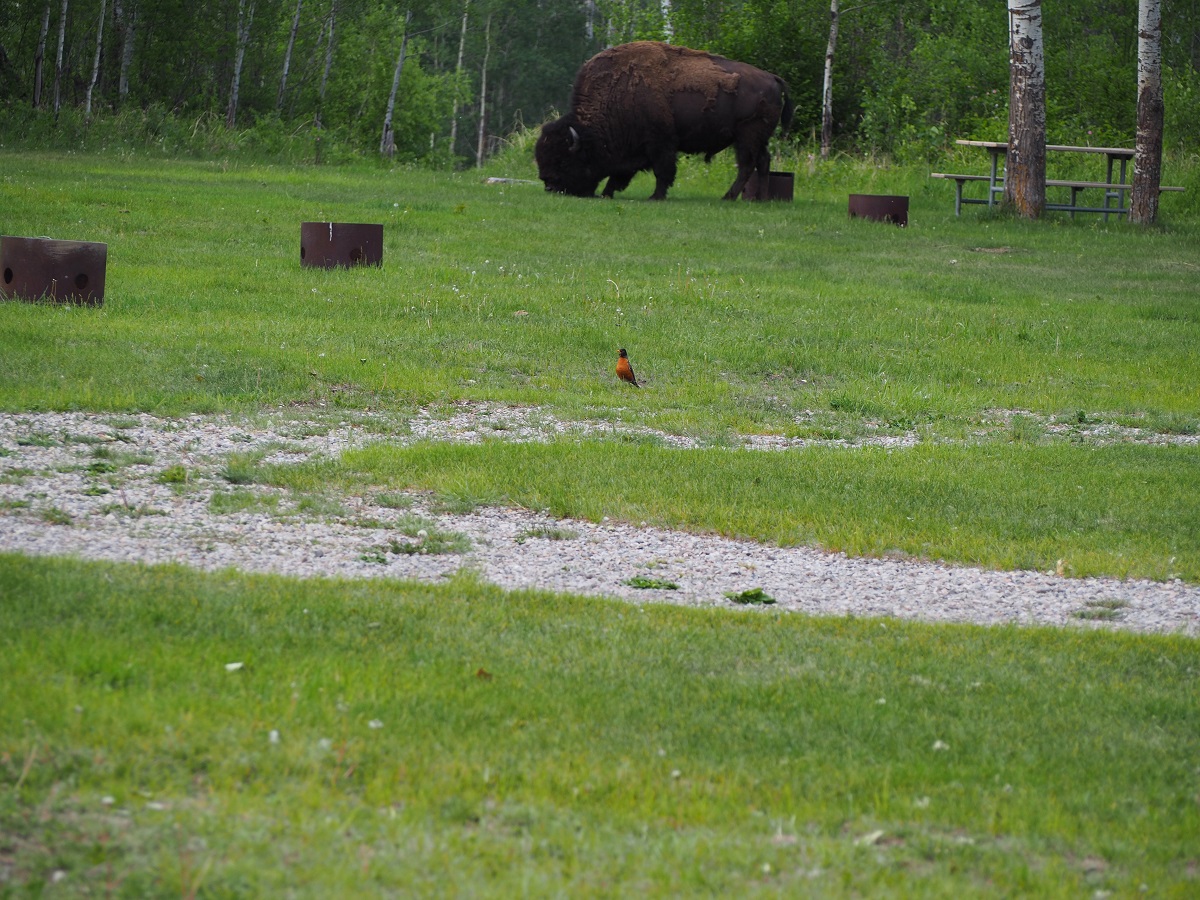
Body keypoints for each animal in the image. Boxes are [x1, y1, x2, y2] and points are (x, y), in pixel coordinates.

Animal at [536, 41, 793, 201]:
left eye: (563, 161)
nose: (550, 186)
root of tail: (773, 78)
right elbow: (620, 173)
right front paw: (607, 193)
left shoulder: (660, 143)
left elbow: (662, 171)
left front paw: (655, 196)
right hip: (756, 139)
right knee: (763, 162)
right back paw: (759, 198)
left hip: (747, 137)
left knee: (747, 165)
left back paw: (728, 197)